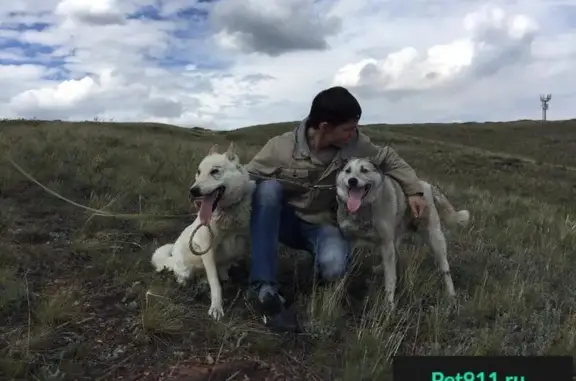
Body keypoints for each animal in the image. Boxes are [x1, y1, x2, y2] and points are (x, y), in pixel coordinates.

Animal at [151, 141, 254, 320]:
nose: (193, 191)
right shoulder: (207, 247)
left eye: (215, 171)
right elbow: (215, 283)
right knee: (183, 276)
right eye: (198, 172)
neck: (228, 212)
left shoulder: (244, 239)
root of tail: (172, 260)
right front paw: (216, 307)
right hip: (185, 269)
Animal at [336, 157, 470, 308]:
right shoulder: (349, 241)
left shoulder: (386, 243)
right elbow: (344, 271)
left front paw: (389, 305)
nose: (352, 180)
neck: (362, 211)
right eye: (347, 171)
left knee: (445, 269)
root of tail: (426, 185)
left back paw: (451, 294)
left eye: (364, 170)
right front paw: (338, 290)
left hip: (435, 239)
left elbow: (390, 279)